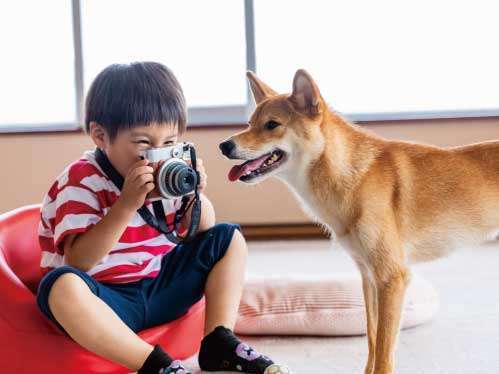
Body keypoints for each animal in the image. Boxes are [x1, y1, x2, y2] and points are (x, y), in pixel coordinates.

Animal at [219, 68, 499, 372]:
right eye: (249, 123)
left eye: (272, 125)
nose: (224, 145)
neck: (353, 176)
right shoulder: (369, 278)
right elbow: (373, 342)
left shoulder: (391, 278)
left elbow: (384, 354)